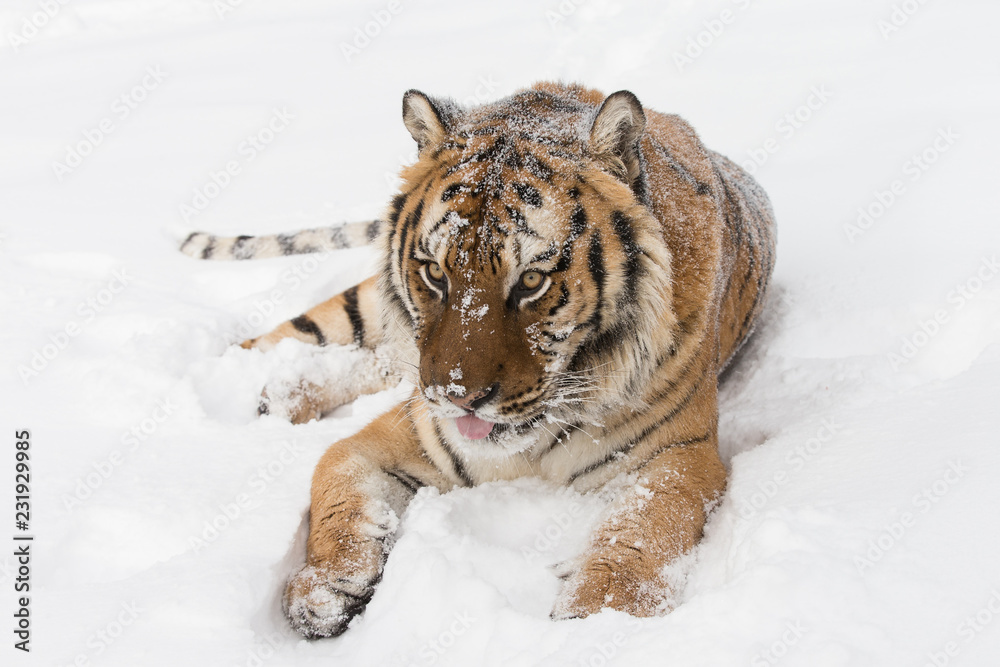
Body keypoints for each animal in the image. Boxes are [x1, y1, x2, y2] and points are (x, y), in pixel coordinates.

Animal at [181, 81, 776, 638]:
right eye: (434, 272)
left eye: (532, 280)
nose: (456, 397)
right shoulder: (411, 430)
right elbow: (335, 475)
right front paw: (325, 589)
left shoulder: (678, 453)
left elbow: (644, 529)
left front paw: (596, 618)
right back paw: (248, 393)